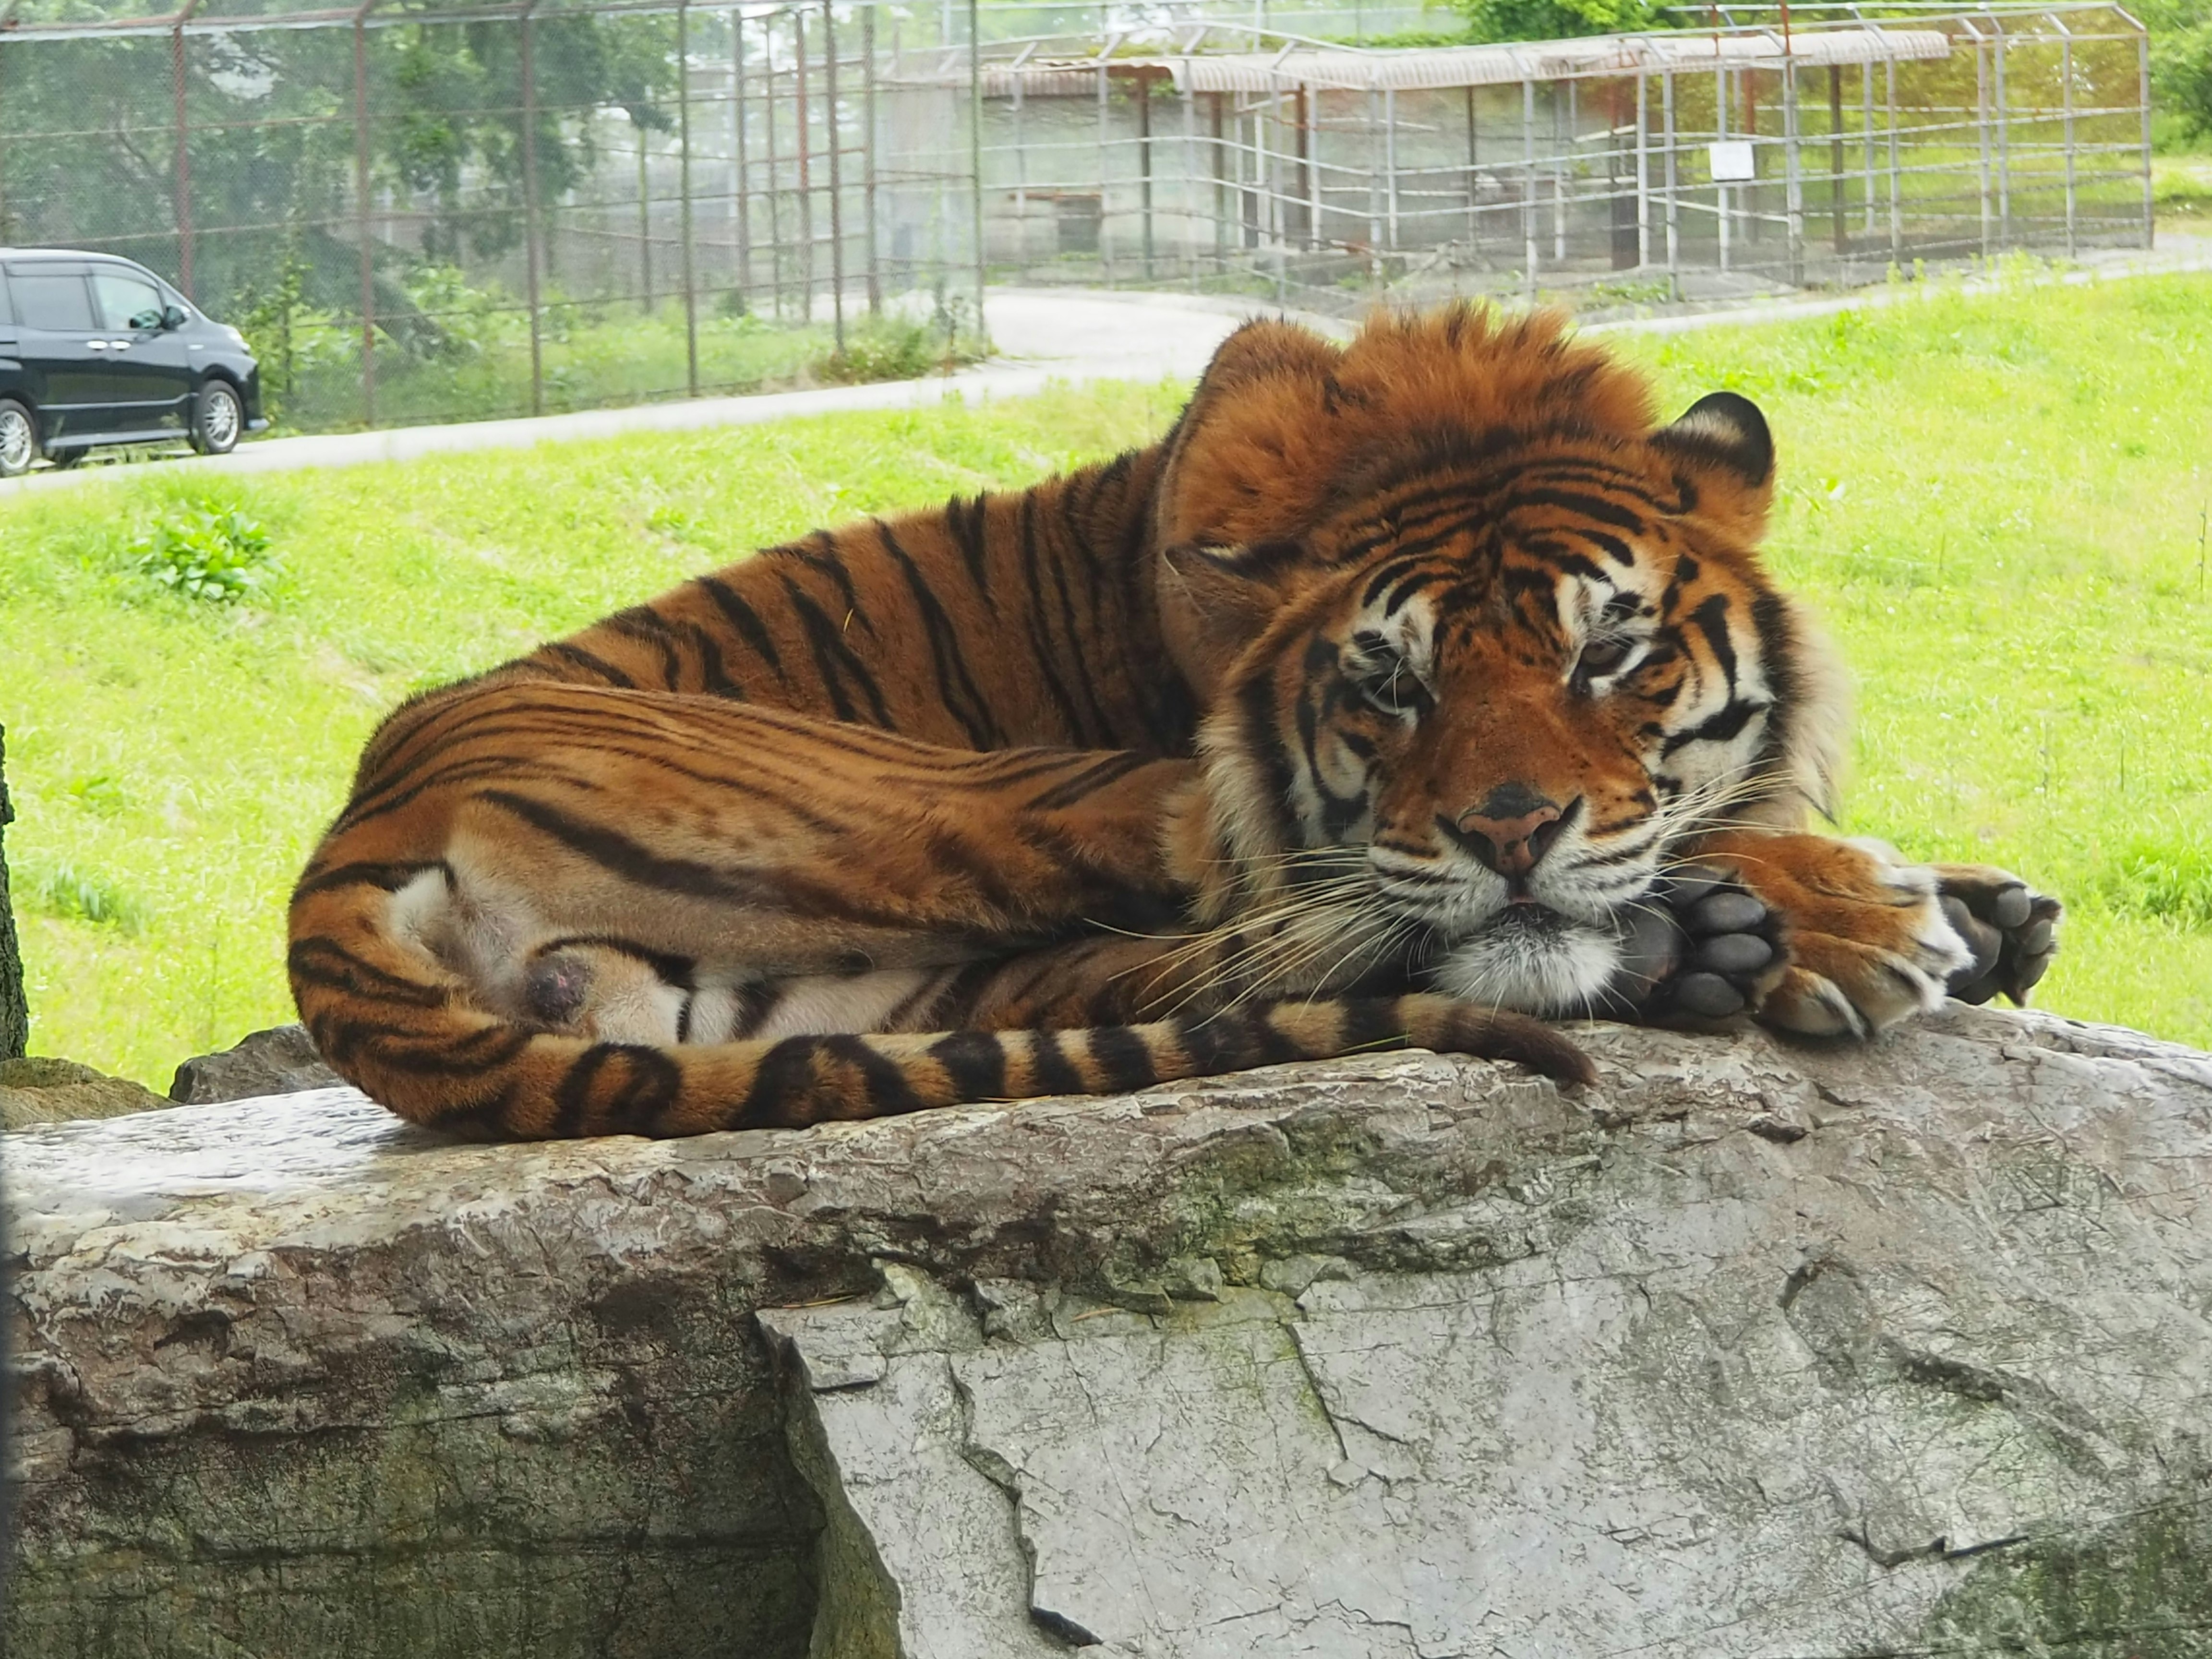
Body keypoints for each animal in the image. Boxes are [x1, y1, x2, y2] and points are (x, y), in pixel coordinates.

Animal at [288, 304, 2059, 1139]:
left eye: (1606, 652)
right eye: (1389, 679)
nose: (1507, 831)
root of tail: (344, 852)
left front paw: (1979, 902)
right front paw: (1872, 912)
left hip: (872, 999)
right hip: (1044, 793)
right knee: (1306, 928)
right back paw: (1735, 943)